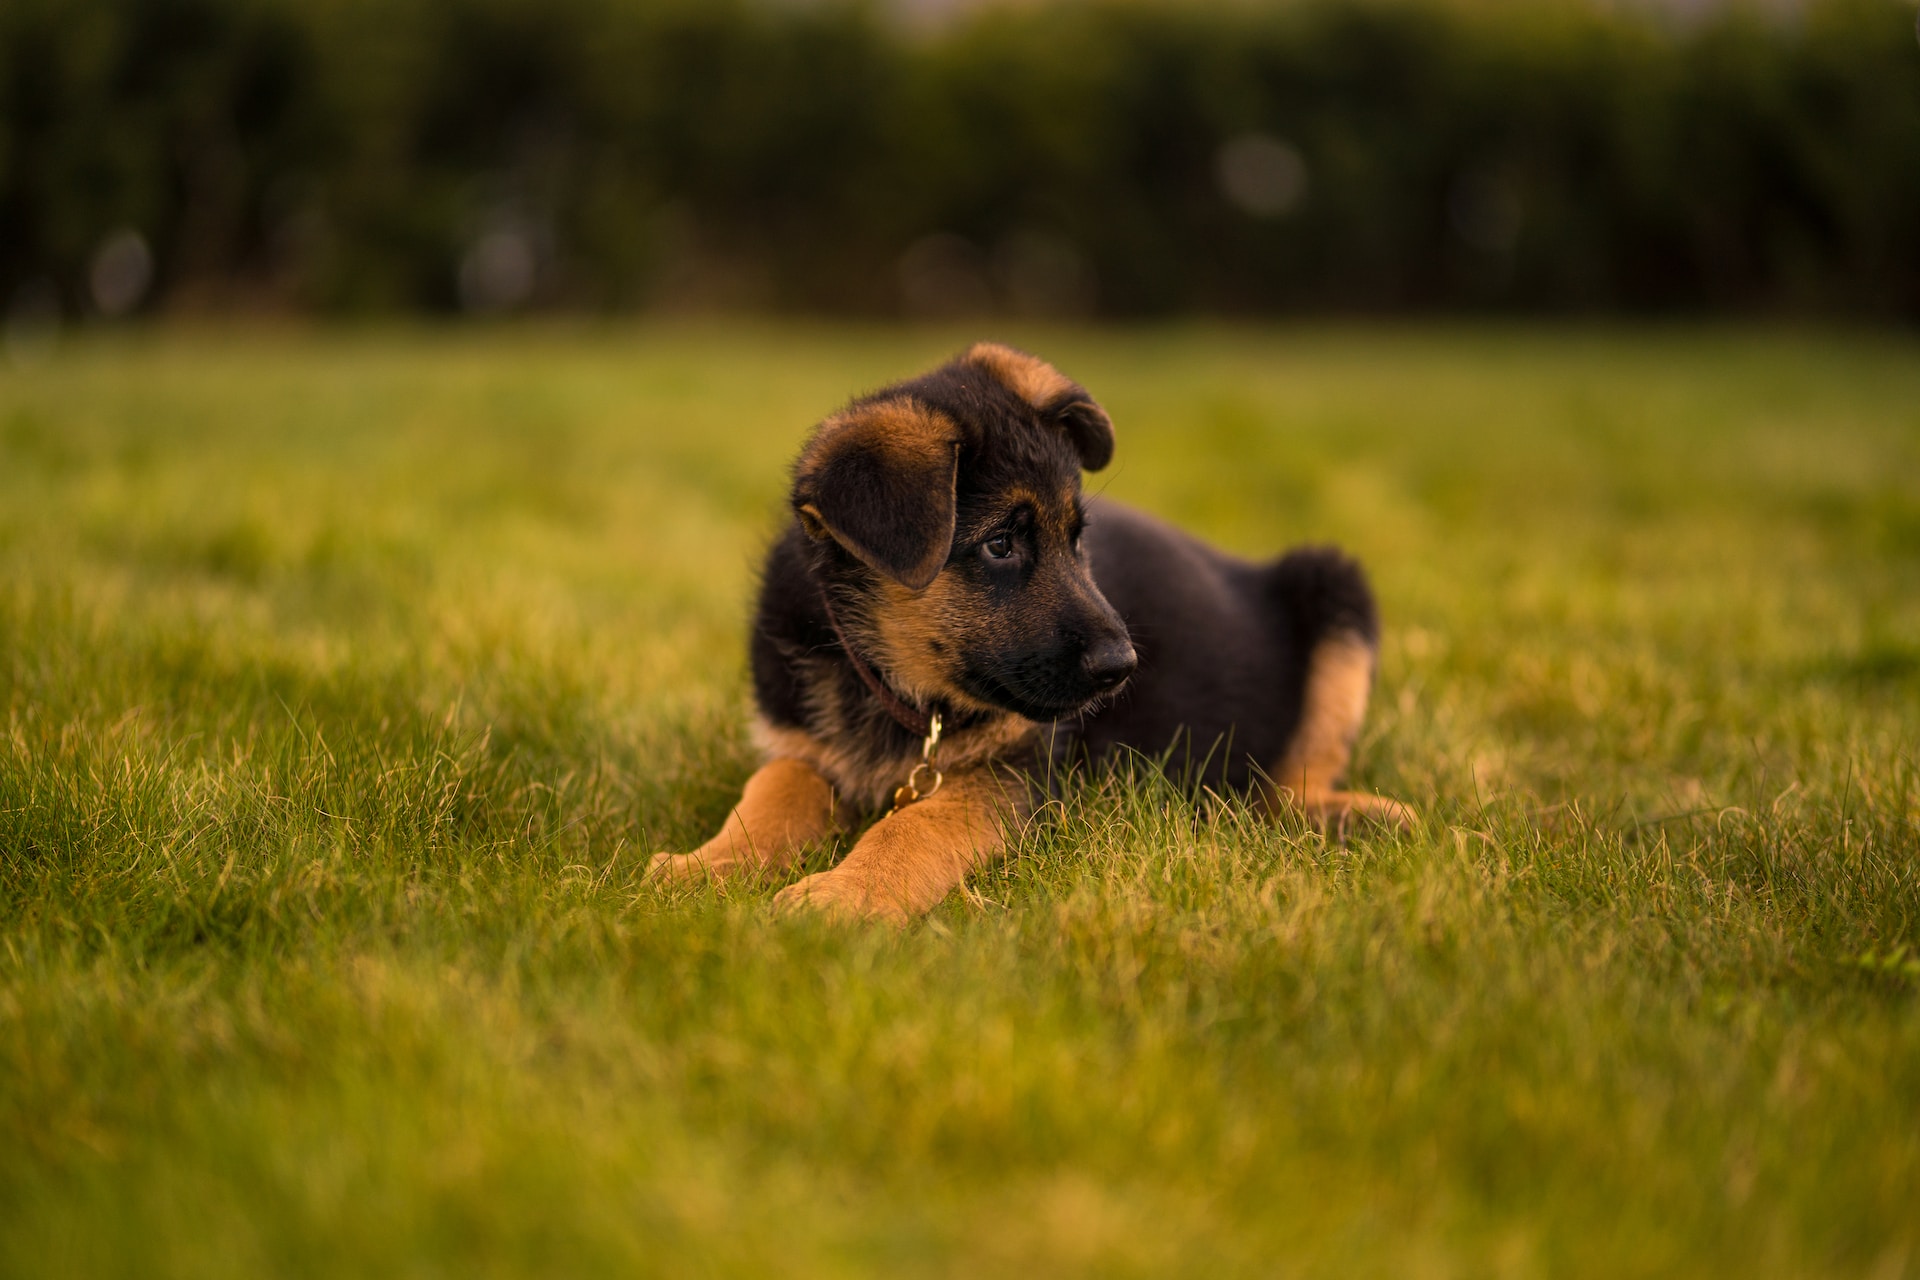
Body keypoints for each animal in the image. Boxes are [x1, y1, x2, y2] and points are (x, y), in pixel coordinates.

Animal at [645, 339, 1413, 921]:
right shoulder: (803, 746)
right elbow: (775, 786)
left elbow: (915, 824)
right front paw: (705, 866)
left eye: (1078, 539)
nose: (1123, 667)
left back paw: (1363, 816)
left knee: (1289, 788)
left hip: (1335, 588)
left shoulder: (1020, 774)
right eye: (999, 545)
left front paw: (844, 896)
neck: (892, 685)